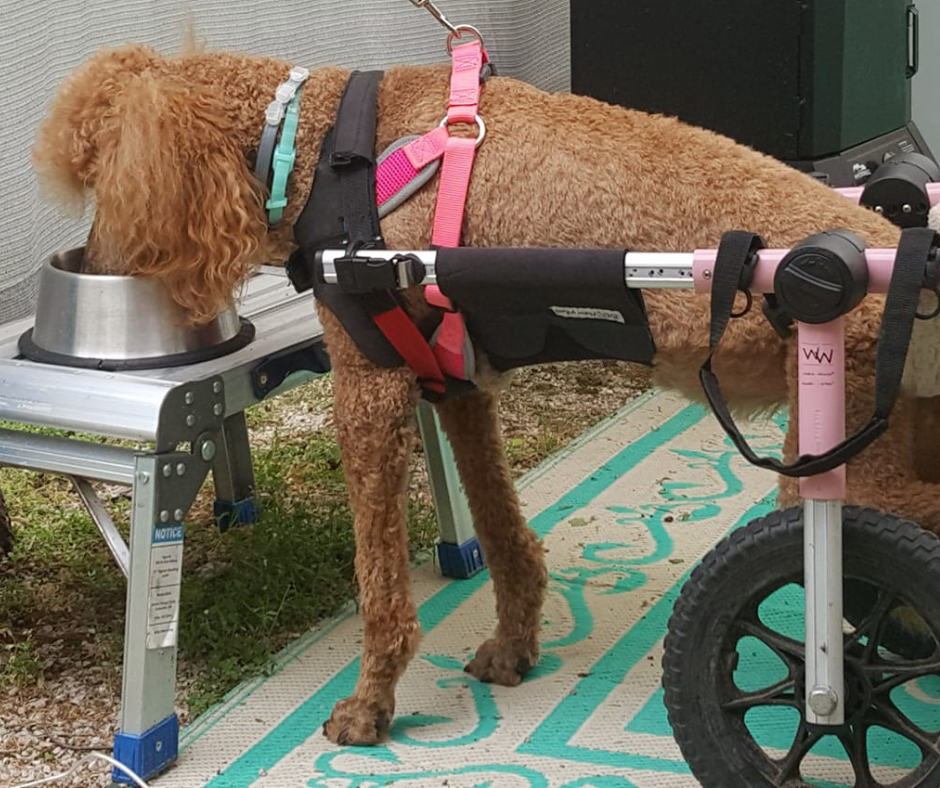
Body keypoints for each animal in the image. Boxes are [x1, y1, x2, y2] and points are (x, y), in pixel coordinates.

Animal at [33, 43, 940, 744]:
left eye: (102, 178)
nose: (94, 264)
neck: (319, 144)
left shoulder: (368, 392)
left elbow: (380, 584)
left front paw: (369, 706)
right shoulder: (459, 386)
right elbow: (504, 536)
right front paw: (513, 647)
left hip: (842, 457)